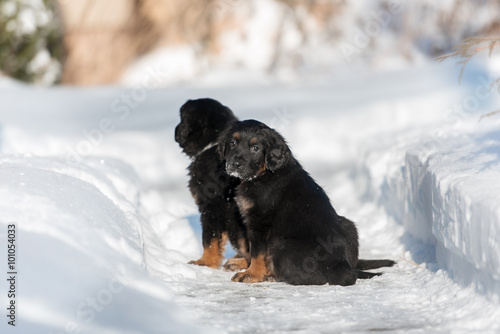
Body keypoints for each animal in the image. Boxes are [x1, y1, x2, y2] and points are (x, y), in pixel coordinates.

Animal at [219, 119, 394, 284]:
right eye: (232, 143)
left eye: (255, 148)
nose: (234, 164)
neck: (264, 174)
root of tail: (344, 268)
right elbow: (251, 249)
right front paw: (244, 264)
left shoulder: (260, 221)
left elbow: (257, 252)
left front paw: (251, 274)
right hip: (347, 224)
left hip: (280, 245)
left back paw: (271, 276)